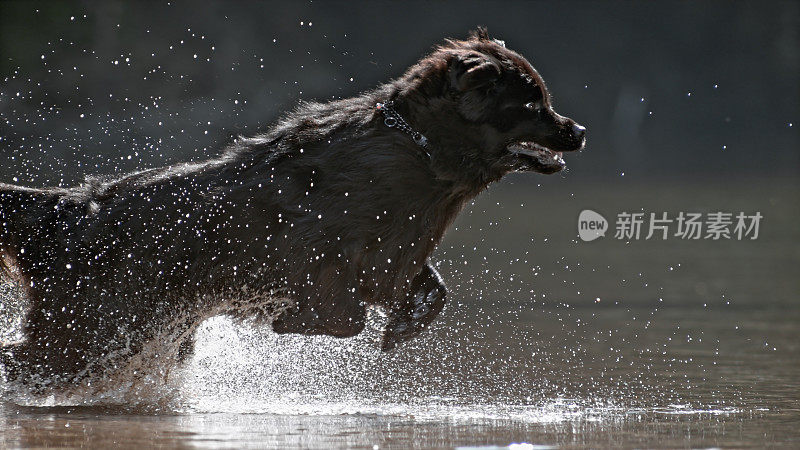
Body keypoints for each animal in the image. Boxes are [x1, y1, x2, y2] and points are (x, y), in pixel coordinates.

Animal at [0, 28, 588, 388]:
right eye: (532, 102)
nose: (578, 130)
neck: (420, 154)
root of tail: (66, 206)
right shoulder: (313, 247)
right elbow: (342, 313)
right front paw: (294, 320)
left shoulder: (396, 251)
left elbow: (430, 291)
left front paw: (401, 328)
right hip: (92, 331)